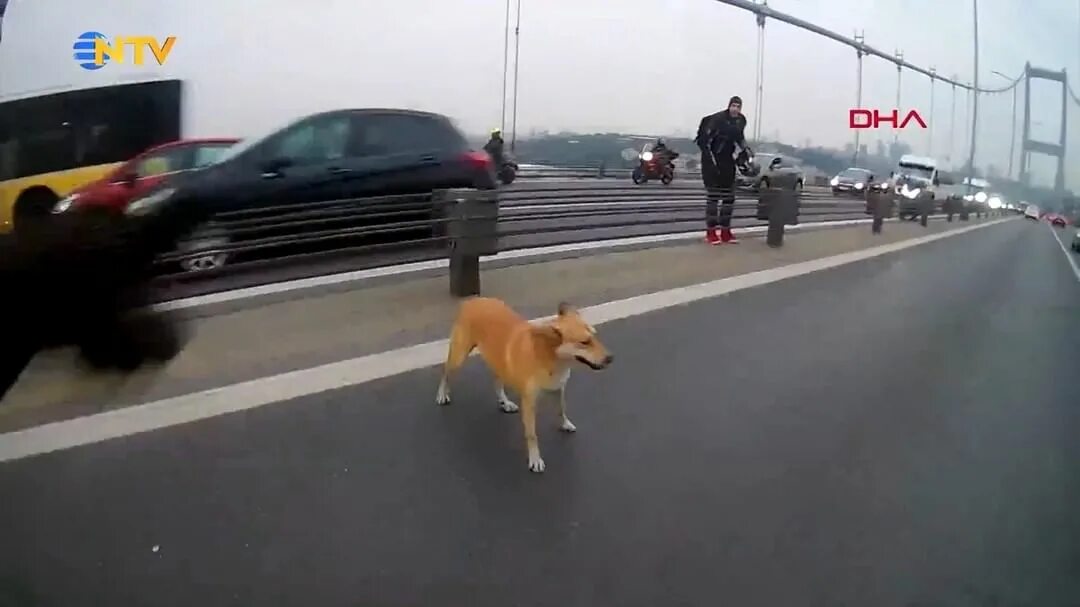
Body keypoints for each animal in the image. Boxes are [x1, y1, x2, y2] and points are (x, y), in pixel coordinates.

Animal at [434, 295, 613, 470]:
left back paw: (505, 402)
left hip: (499, 362)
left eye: (594, 336)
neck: (551, 358)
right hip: (459, 356)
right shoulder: (529, 403)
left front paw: (565, 423)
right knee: (446, 372)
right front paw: (535, 459)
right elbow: (532, 435)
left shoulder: (559, 389)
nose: (611, 358)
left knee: (497, 382)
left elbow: (561, 409)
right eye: (584, 342)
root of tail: (473, 300)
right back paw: (442, 394)